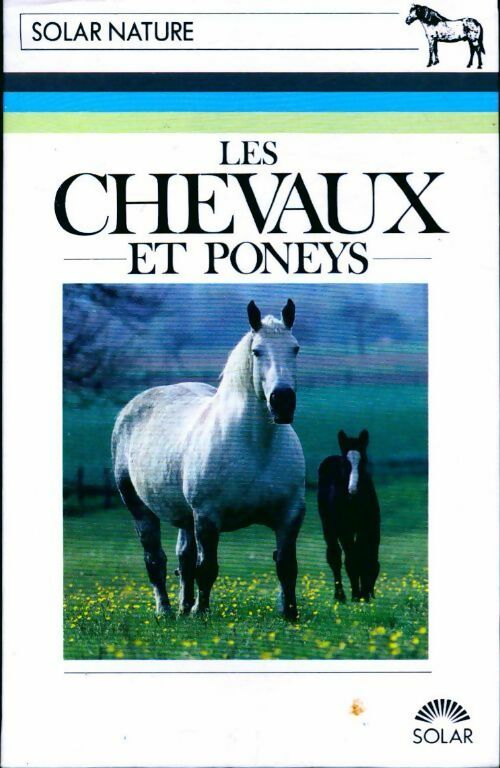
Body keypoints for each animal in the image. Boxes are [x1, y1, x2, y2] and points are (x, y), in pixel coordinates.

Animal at [112, 299, 305, 620]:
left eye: (295, 348)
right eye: (257, 351)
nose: (282, 401)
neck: (256, 448)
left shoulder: (290, 515)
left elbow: (286, 566)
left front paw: (290, 614)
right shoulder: (207, 517)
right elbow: (207, 568)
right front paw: (200, 614)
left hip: (184, 517)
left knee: (184, 558)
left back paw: (182, 606)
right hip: (140, 508)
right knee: (156, 559)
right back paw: (166, 610)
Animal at [317, 430, 380, 602]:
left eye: (364, 460)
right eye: (346, 464)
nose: (353, 490)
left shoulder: (367, 527)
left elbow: (362, 554)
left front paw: (363, 594)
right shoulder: (345, 529)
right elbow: (352, 559)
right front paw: (357, 595)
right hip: (328, 525)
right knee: (334, 556)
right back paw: (340, 595)